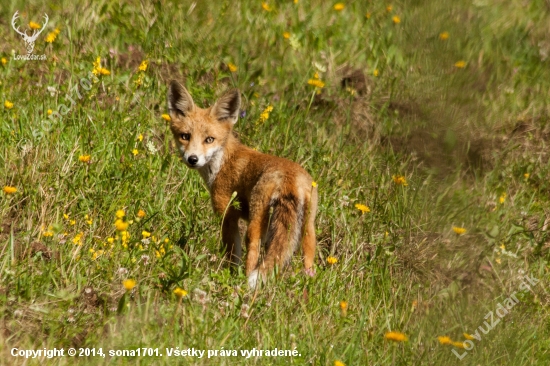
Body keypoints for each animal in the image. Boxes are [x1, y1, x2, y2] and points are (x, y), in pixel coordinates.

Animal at [167, 81, 320, 288]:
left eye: (209, 139)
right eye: (185, 136)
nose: (193, 159)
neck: (224, 161)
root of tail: (291, 178)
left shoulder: (227, 214)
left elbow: (233, 254)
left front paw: (230, 274)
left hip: (257, 218)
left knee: (253, 246)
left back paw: (245, 283)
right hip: (307, 226)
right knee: (308, 257)